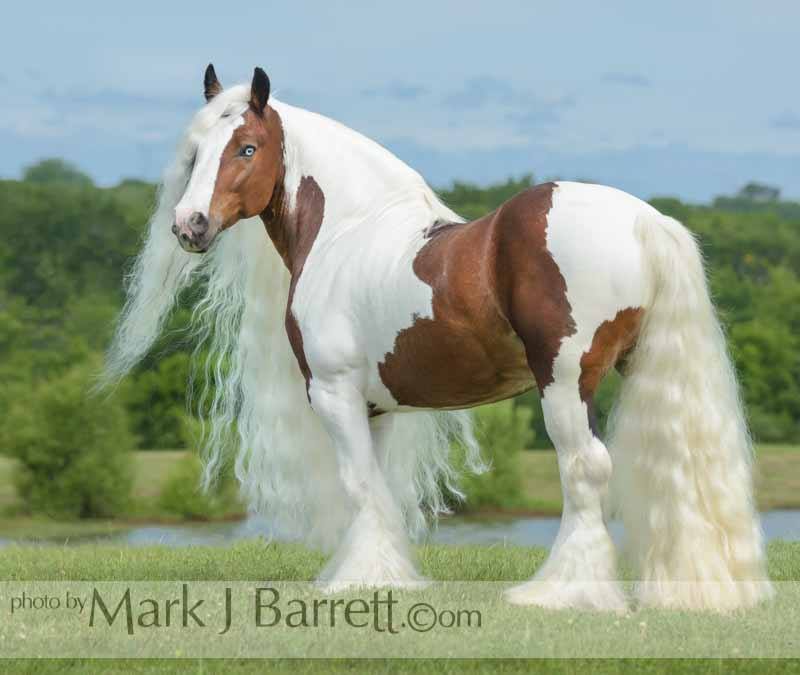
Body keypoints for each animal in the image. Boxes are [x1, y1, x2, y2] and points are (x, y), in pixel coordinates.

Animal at [103, 64, 772, 612]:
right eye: (196, 153)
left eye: (247, 147)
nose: (189, 226)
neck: (348, 230)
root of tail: (642, 219)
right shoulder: (375, 406)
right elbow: (376, 487)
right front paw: (384, 574)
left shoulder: (334, 393)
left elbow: (359, 485)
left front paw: (362, 582)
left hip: (564, 383)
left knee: (585, 470)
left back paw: (560, 592)